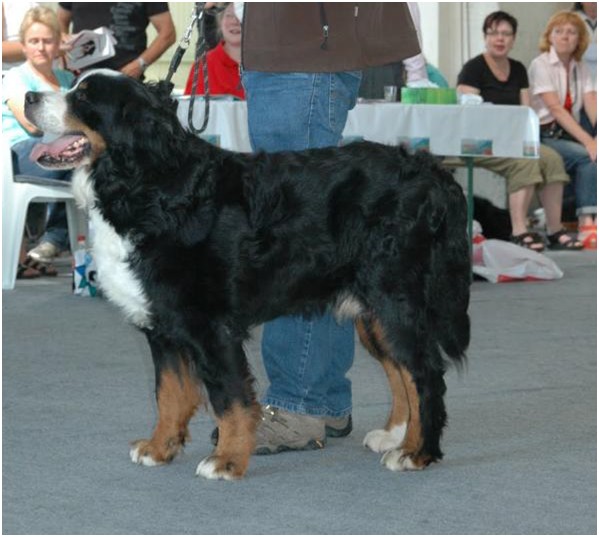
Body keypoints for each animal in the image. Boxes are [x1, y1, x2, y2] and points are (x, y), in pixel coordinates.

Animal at [24, 70, 474, 478]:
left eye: (84, 96)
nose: (28, 96)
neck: (149, 185)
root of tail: (431, 171)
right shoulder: (163, 326)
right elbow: (168, 394)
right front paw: (159, 448)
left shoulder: (210, 326)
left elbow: (231, 399)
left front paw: (226, 460)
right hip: (374, 312)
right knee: (401, 372)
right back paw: (395, 435)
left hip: (394, 296)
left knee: (425, 374)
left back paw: (417, 452)